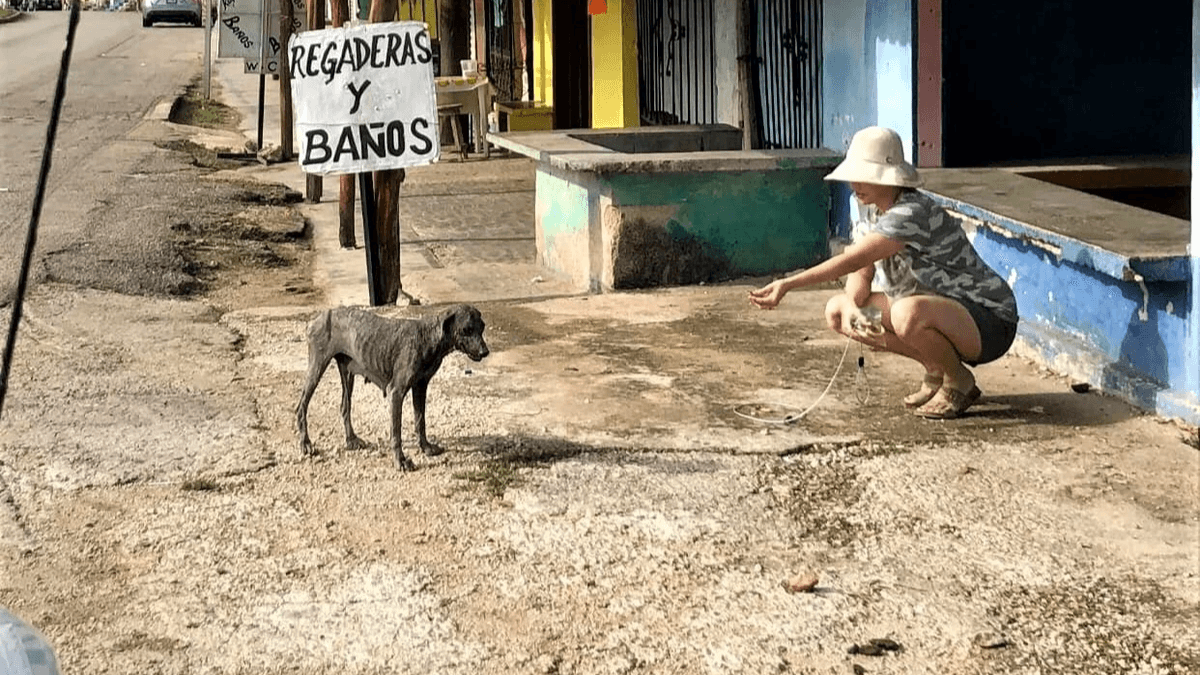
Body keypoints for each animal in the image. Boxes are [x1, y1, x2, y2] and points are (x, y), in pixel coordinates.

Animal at [295, 304, 489, 470]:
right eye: (466, 329)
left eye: (482, 327)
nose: (485, 352)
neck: (427, 337)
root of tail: (317, 318)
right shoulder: (396, 392)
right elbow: (396, 432)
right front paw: (401, 461)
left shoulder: (420, 387)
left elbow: (420, 421)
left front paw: (426, 447)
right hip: (317, 368)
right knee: (301, 407)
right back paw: (305, 444)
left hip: (347, 374)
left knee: (344, 406)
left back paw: (351, 440)